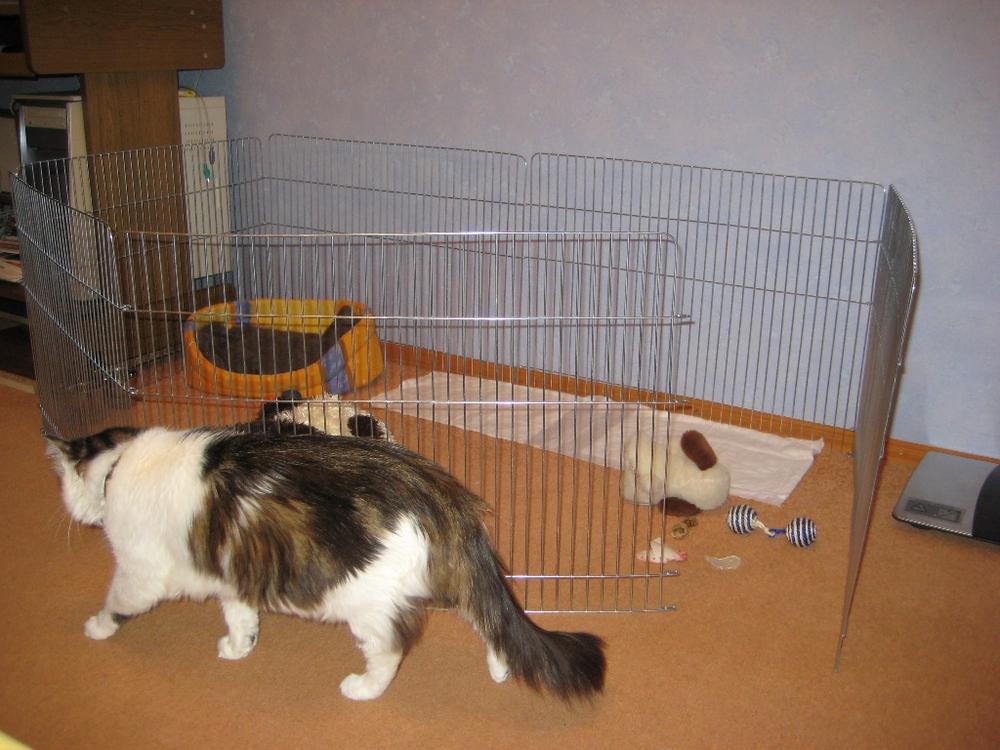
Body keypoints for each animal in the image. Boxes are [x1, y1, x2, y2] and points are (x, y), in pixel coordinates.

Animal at [46, 426, 606, 701]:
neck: (119, 464)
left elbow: (116, 601)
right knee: (489, 621)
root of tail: (438, 495)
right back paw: (500, 667)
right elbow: (239, 615)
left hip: (366, 603)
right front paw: (240, 646)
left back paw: (363, 690)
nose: (68, 508)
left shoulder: (140, 571)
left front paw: (96, 627)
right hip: (447, 581)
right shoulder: (232, 573)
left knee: (391, 650)